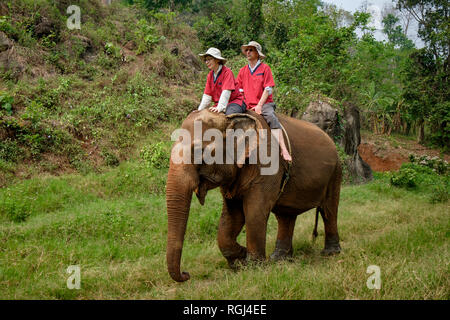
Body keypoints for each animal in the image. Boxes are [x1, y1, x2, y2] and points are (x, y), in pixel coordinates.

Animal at [165, 109, 342, 282]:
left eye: (199, 151)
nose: (186, 274)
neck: (230, 118)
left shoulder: (267, 165)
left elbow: (254, 211)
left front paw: (254, 266)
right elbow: (232, 216)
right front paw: (240, 261)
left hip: (335, 172)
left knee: (328, 210)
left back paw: (331, 253)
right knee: (286, 216)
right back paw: (279, 258)